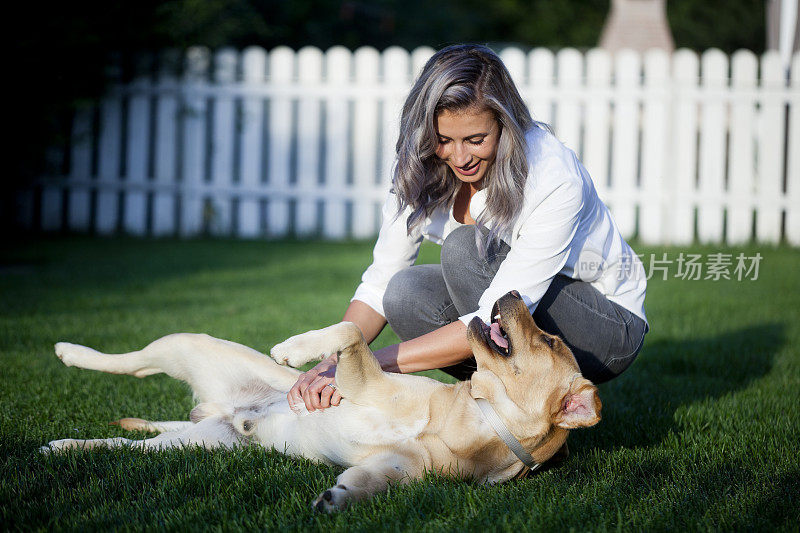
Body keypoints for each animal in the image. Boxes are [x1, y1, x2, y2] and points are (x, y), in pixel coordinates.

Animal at [42, 290, 600, 512]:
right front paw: (298, 351)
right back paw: (69, 351)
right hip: (187, 344)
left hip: (193, 446)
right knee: (132, 363)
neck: (478, 420)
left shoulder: (394, 469)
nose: (512, 291)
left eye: (550, 341)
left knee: (121, 446)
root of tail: (222, 414)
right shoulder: (367, 381)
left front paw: (339, 498)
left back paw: (65, 446)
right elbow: (349, 332)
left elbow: (366, 481)